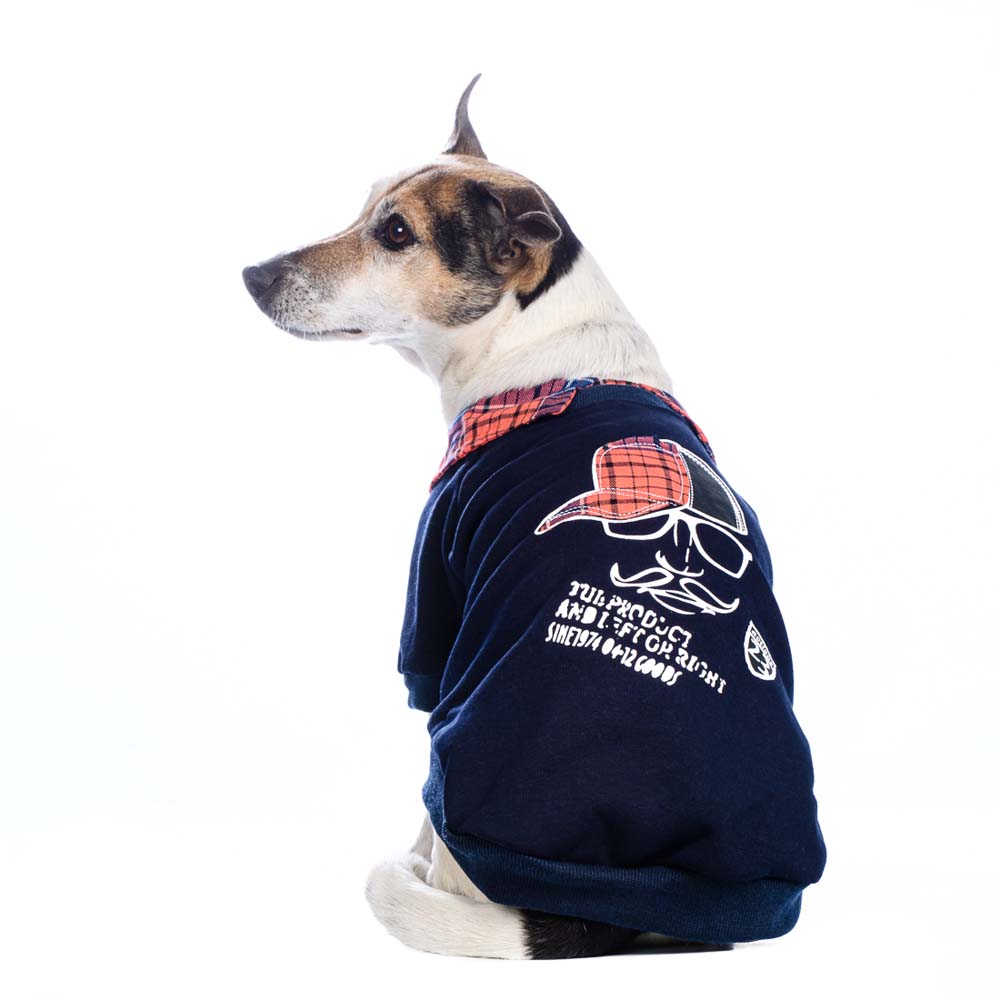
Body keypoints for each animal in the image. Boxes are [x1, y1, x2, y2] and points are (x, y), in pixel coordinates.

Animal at [243, 75, 826, 960]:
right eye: (366, 205)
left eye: (396, 232)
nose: (252, 274)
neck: (529, 342)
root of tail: (617, 913)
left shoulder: (435, 610)